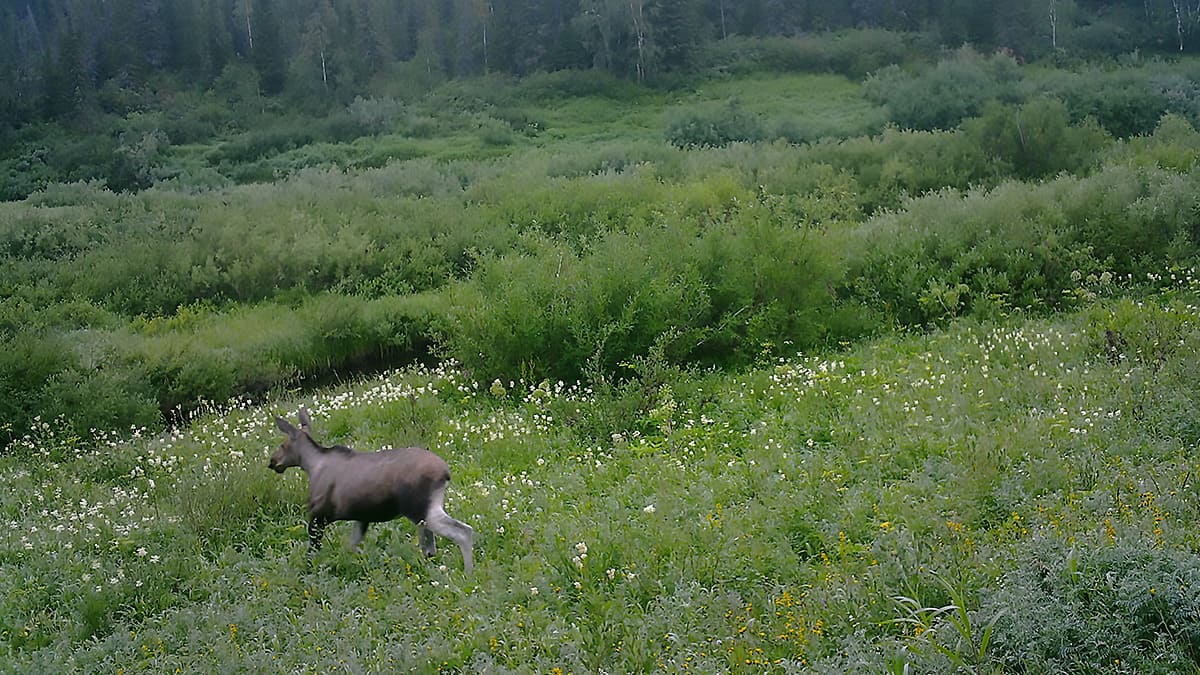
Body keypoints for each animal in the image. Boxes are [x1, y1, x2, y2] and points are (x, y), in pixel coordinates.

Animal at [269, 407, 473, 574]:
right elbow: (353, 547)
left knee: (463, 531)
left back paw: (468, 574)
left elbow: (313, 550)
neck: (311, 465)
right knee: (430, 549)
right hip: (422, 516)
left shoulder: (319, 515)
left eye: (282, 445)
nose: (272, 461)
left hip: (420, 510)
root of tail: (445, 473)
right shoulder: (362, 518)